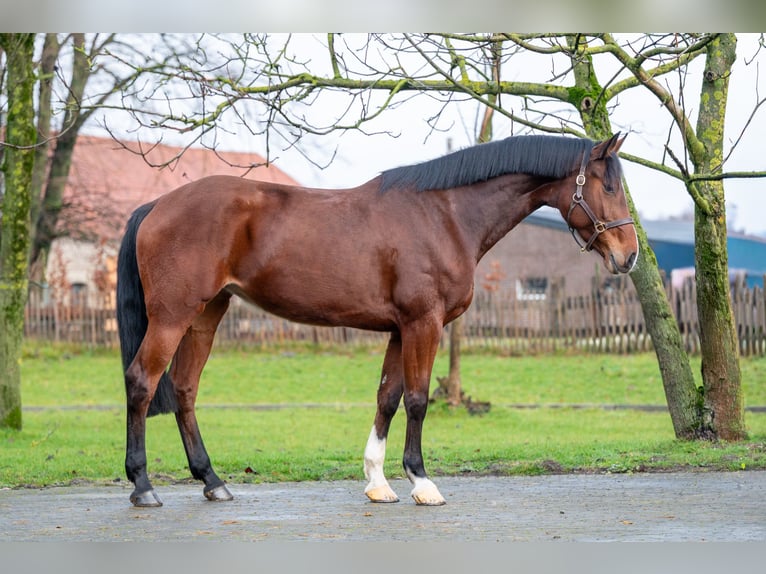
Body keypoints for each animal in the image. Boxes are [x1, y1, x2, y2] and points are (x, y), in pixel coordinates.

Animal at [116, 133, 638, 507]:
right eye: (608, 186)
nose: (629, 256)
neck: (445, 214)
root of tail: (156, 206)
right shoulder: (424, 323)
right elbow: (418, 400)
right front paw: (422, 483)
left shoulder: (398, 329)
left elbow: (387, 398)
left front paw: (377, 482)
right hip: (173, 316)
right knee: (143, 382)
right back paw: (143, 487)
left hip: (206, 314)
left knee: (184, 388)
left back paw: (212, 481)